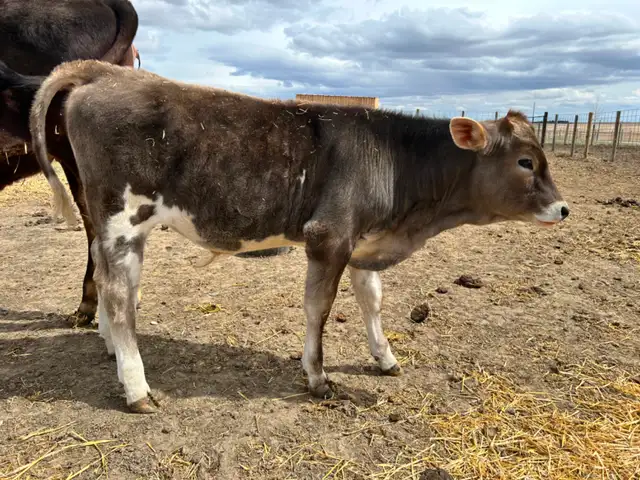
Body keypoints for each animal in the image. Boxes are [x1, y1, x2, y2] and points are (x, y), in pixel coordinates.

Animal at [28, 60, 569, 413]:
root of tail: (108, 72)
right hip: (123, 219)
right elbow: (318, 309)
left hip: (108, 221)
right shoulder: (328, 236)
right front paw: (317, 377)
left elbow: (372, 301)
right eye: (526, 161)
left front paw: (385, 357)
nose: (563, 208)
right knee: (120, 294)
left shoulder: (362, 242)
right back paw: (137, 388)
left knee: (104, 276)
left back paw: (110, 348)